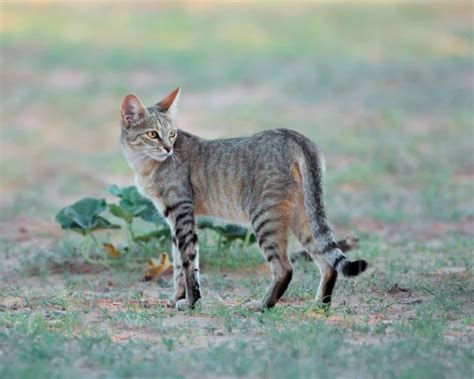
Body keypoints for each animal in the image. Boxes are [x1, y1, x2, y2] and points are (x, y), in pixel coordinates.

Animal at [119, 87, 366, 312]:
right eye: (153, 134)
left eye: (172, 134)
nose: (169, 148)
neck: (144, 165)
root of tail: (295, 136)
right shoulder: (171, 217)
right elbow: (179, 264)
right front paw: (176, 298)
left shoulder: (182, 212)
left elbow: (189, 264)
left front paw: (191, 302)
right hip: (304, 218)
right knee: (328, 264)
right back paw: (320, 307)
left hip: (264, 217)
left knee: (285, 268)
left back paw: (263, 305)